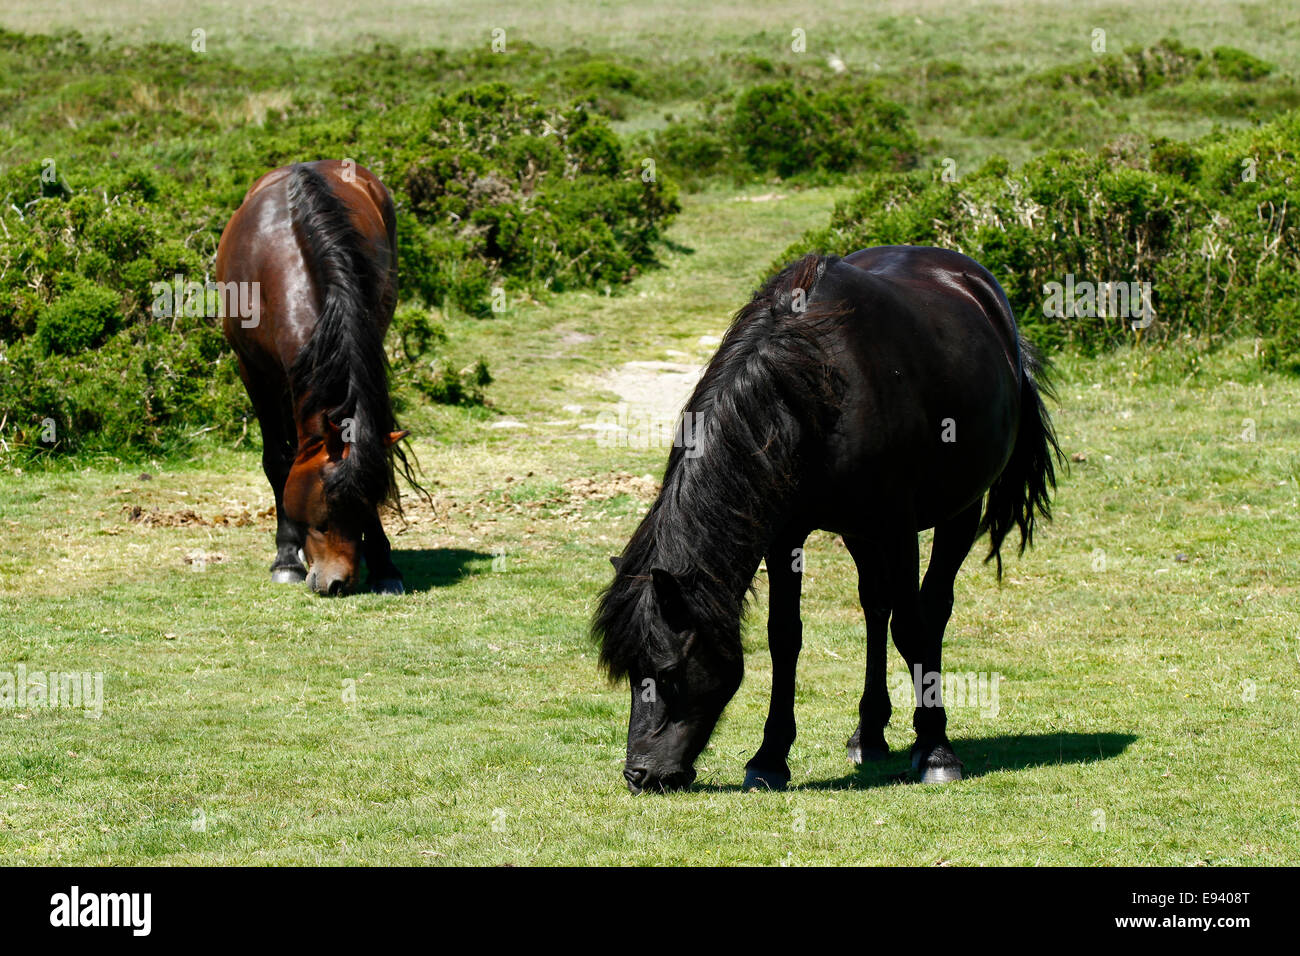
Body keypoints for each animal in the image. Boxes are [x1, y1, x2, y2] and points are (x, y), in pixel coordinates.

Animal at [216, 160, 418, 596]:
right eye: (324, 515)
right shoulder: (252, 371)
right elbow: (278, 461)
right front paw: (286, 559)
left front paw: (384, 564)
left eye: (368, 506)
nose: (338, 582)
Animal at [593, 247, 1062, 793]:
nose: (640, 774)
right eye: (630, 673)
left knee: (931, 609)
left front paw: (937, 752)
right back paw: (870, 733)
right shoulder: (785, 535)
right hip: (860, 532)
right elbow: (784, 636)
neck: (817, 387)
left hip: (959, 511)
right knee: (876, 606)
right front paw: (770, 758)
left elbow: (912, 629)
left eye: (668, 673)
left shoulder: (898, 527)